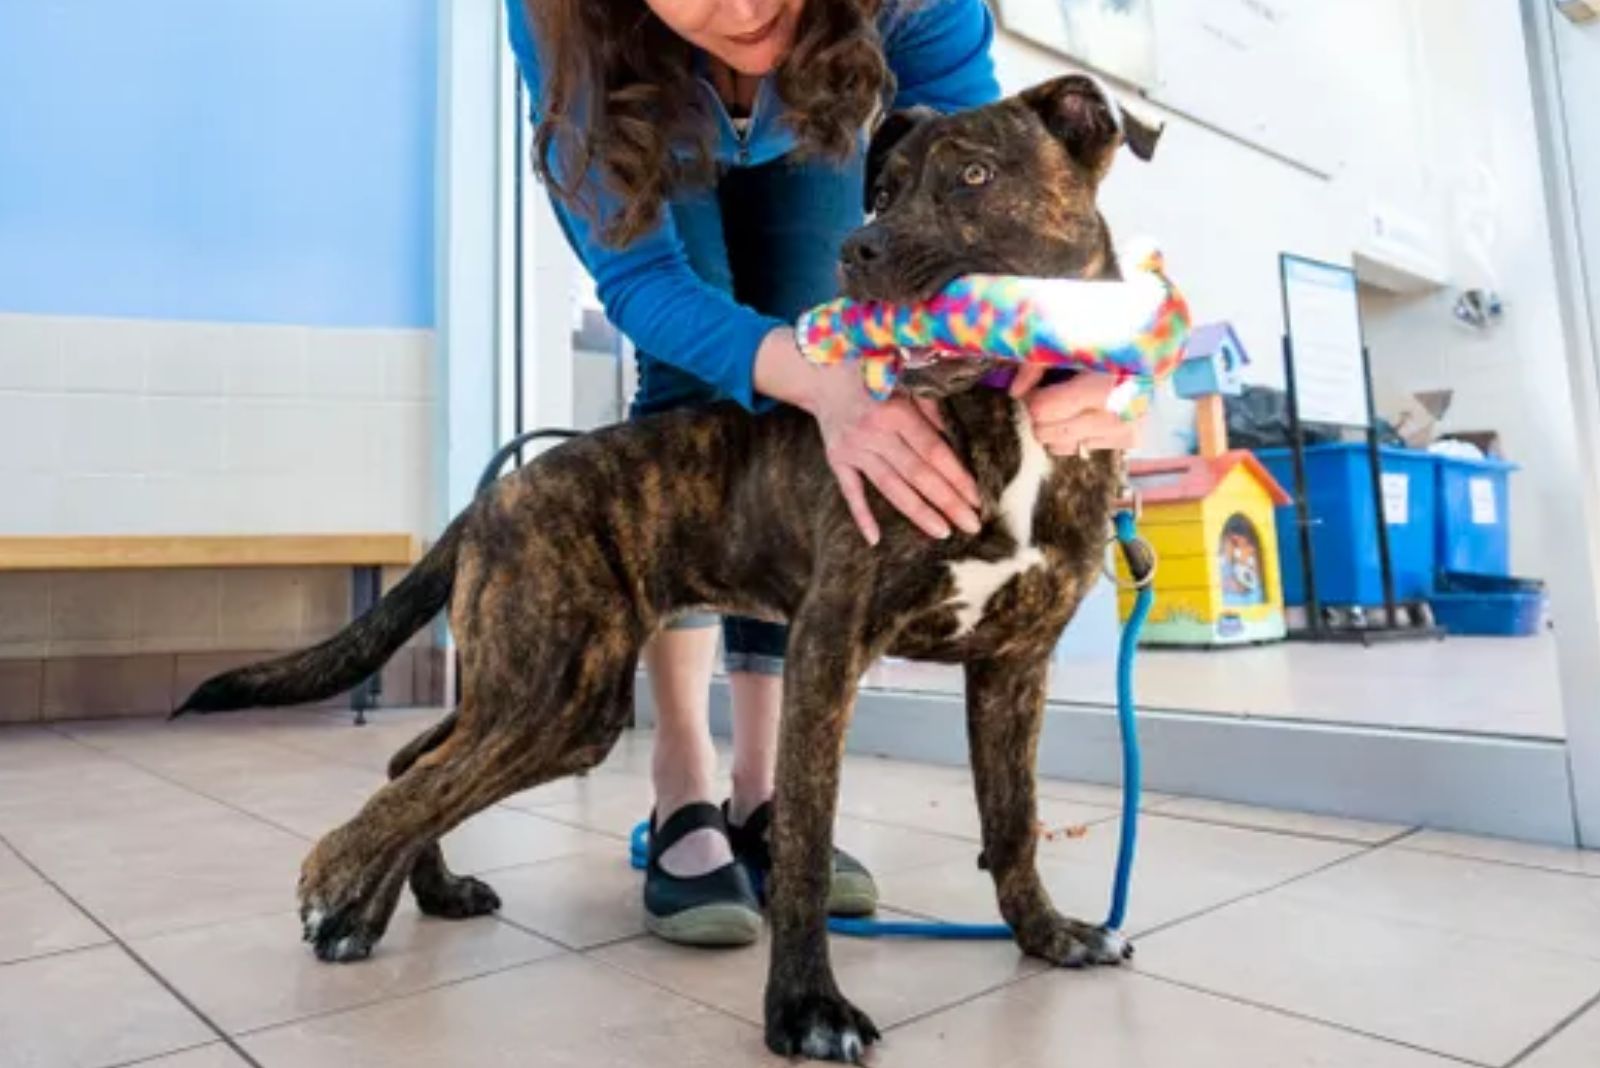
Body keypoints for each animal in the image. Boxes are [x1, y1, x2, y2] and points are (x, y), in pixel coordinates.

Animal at [181, 75, 1164, 1061]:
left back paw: (397, 901)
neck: (1009, 422)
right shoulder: (829, 649)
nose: (856, 249)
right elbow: (805, 848)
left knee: (417, 760)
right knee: (423, 775)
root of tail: (497, 494)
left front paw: (1046, 934)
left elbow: (1014, 821)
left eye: (973, 175)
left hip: (536, 690)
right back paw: (335, 883)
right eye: (881, 192)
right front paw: (806, 1008)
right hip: (557, 697)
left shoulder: (1013, 670)